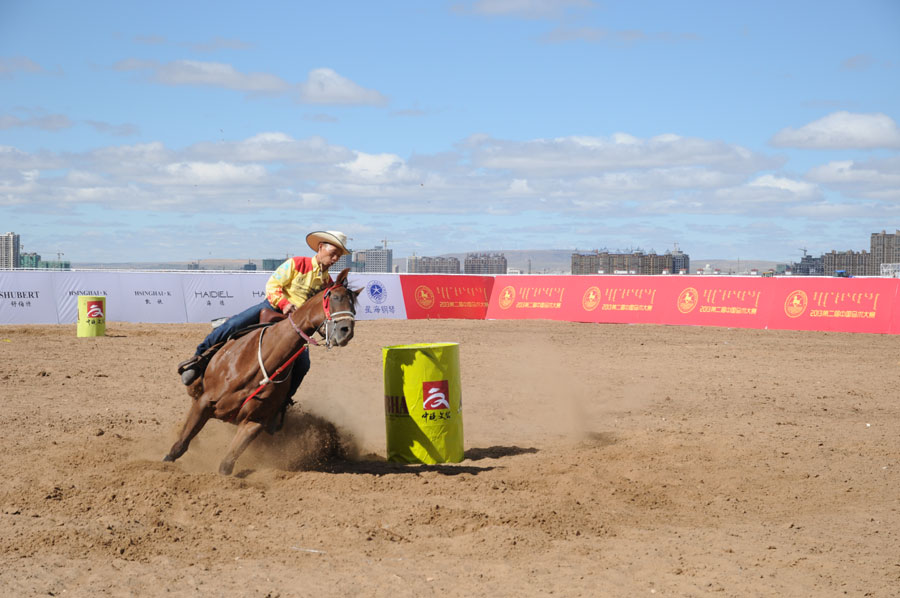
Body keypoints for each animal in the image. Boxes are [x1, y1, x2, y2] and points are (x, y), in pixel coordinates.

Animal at [162, 270, 358, 476]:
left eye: (354, 306)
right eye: (336, 297)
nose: (346, 331)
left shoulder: (254, 422)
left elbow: (226, 464)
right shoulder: (205, 402)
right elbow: (181, 444)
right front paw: (167, 462)